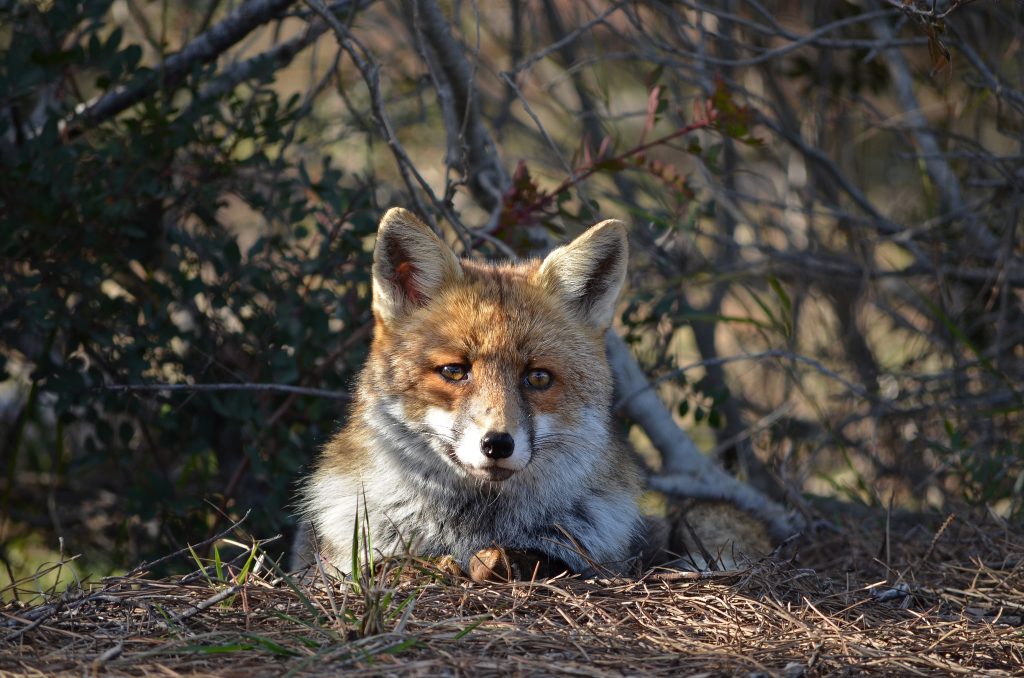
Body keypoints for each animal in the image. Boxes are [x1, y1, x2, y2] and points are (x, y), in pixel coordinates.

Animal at [292, 208, 770, 585]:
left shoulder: (596, 556)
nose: (497, 444)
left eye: (537, 378)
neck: (472, 529)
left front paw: (504, 564)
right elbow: (380, 566)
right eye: (454, 371)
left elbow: (552, 561)